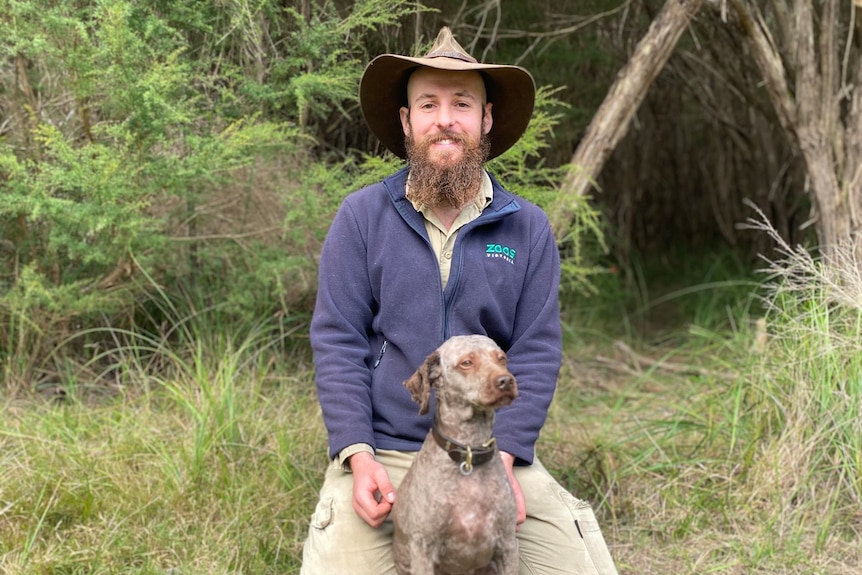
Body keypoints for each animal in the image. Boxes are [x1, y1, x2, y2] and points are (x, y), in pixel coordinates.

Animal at [392, 336, 520, 575]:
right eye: (466, 363)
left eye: (501, 358)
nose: (506, 381)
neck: (469, 453)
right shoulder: (423, 547)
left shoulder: (508, 544)